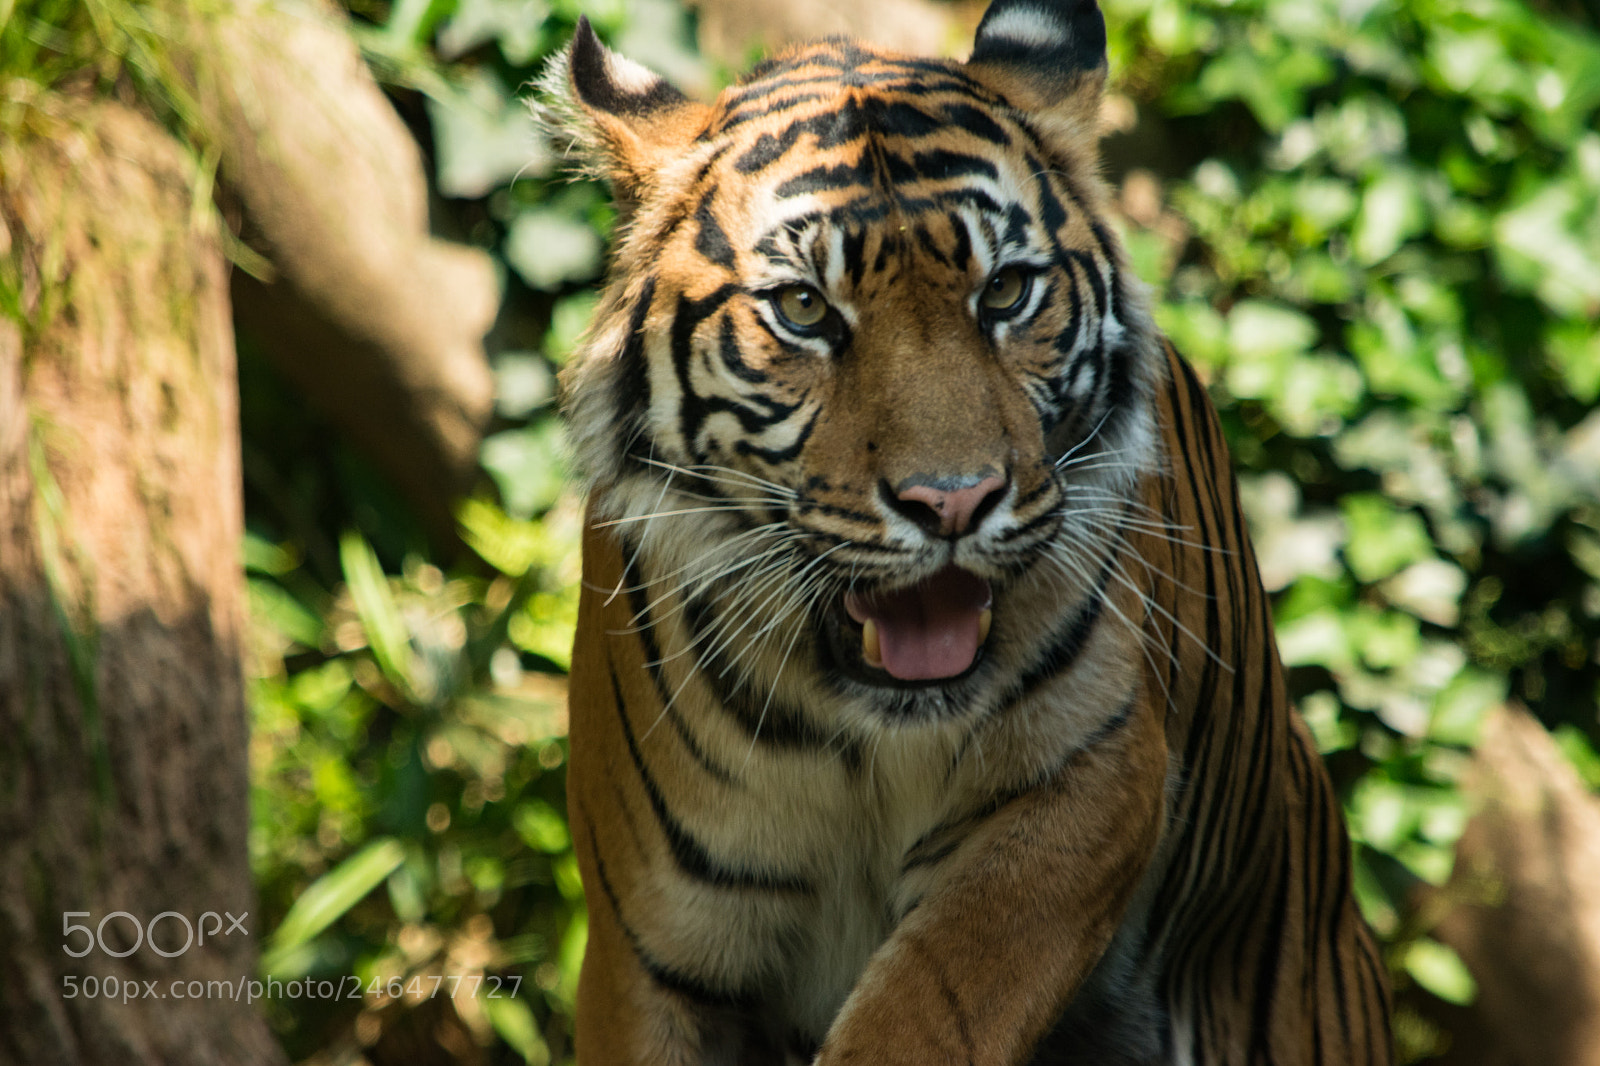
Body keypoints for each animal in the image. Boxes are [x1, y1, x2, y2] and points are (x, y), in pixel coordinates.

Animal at [541, 0, 1394, 1062]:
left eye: (1006, 294)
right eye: (804, 309)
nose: (952, 501)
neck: (863, 740)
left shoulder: (1090, 785)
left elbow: (927, 1009)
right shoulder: (646, 949)